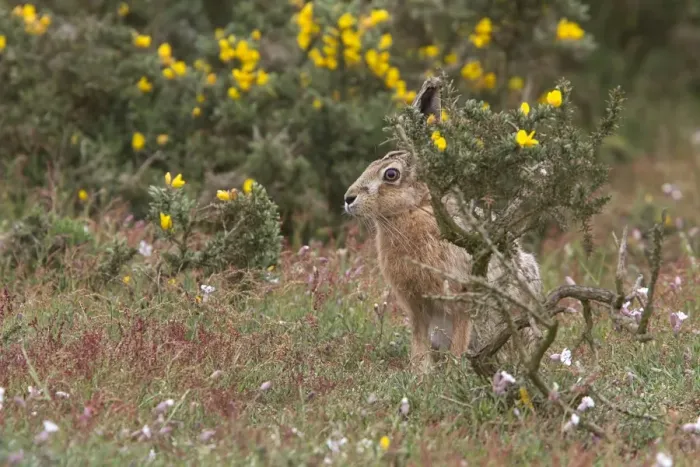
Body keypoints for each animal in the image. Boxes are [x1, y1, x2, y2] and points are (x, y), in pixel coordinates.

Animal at [343, 78, 542, 373]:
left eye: (390, 174)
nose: (348, 199)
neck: (413, 209)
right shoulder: (416, 305)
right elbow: (419, 340)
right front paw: (420, 372)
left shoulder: (460, 299)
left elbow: (460, 336)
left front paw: (453, 371)